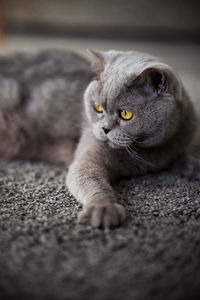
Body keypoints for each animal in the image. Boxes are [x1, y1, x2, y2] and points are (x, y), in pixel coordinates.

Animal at [0, 49, 199, 227]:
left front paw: (193, 166)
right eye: (97, 107)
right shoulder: (88, 157)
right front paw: (104, 209)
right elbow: (92, 181)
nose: (104, 129)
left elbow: (181, 158)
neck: (146, 153)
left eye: (126, 114)